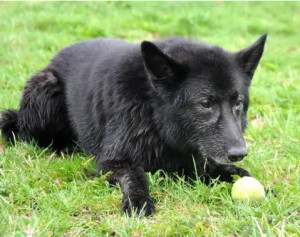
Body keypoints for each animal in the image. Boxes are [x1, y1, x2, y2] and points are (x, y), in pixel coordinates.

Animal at [0, 34, 268, 217]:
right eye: (205, 103)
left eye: (238, 103)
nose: (239, 153)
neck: (155, 117)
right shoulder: (112, 163)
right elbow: (134, 174)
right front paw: (138, 201)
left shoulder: (200, 160)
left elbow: (239, 172)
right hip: (46, 90)